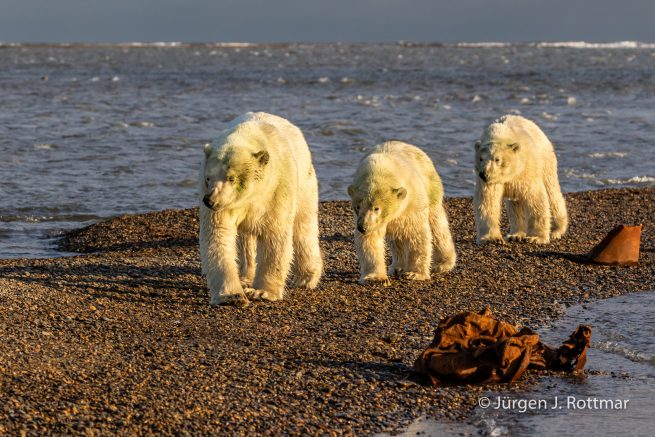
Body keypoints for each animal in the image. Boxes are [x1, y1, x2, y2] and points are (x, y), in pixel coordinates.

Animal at [199, 112, 323, 306]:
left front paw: (262, 292)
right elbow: (218, 235)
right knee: (245, 241)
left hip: (305, 182)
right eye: (208, 178)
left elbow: (275, 236)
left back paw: (305, 278)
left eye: (231, 178)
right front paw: (232, 296)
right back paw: (244, 277)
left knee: (303, 226)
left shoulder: (277, 189)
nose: (210, 200)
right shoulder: (225, 207)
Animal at [347, 141, 457, 286]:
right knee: (397, 238)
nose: (362, 227)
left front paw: (414, 274)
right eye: (357, 206)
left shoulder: (412, 203)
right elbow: (370, 240)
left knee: (437, 226)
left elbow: (417, 235)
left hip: (431, 188)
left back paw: (442, 263)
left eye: (376, 208)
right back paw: (397, 267)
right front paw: (375, 278)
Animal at [474, 114, 568, 245]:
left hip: (546, 161)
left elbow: (536, 199)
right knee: (516, 205)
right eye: (481, 158)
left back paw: (556, 231)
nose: (484, 174)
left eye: (497, 159)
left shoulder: (527, 170)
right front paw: (491, 238)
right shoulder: (491, 181)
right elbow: (488, 201)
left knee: (552, 193)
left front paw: (536, 238)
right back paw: (516, 235)